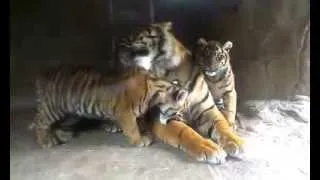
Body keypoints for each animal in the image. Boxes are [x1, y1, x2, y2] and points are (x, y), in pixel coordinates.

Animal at [28, 65, 189, 148]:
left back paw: (63, 136)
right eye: (179, 111)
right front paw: (140, 140)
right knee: (40, 121)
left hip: (71, 112)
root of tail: (43, 75)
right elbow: (133, 128)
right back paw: (45, 141)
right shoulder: (125, 113)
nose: (184, 120)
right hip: (53, 108)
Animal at [115, 21, 245, 163]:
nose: (119, 46)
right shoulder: (165, 117)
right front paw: (210, 149)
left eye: (133, 39)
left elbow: (222, 125)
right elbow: (186, 132)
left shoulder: (208, 109)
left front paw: (237, 143)